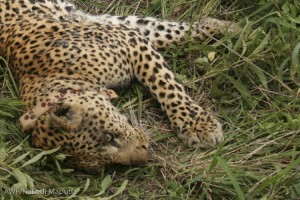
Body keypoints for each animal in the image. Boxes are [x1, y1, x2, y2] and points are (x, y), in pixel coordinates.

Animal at [0, 0, 239, 172]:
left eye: (109, 137)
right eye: (102, 166)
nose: (144, 157)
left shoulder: (130, 41)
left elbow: (165, 82)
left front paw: (197, 123)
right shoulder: (117, 29)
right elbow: (159, 29)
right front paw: (223, 27)